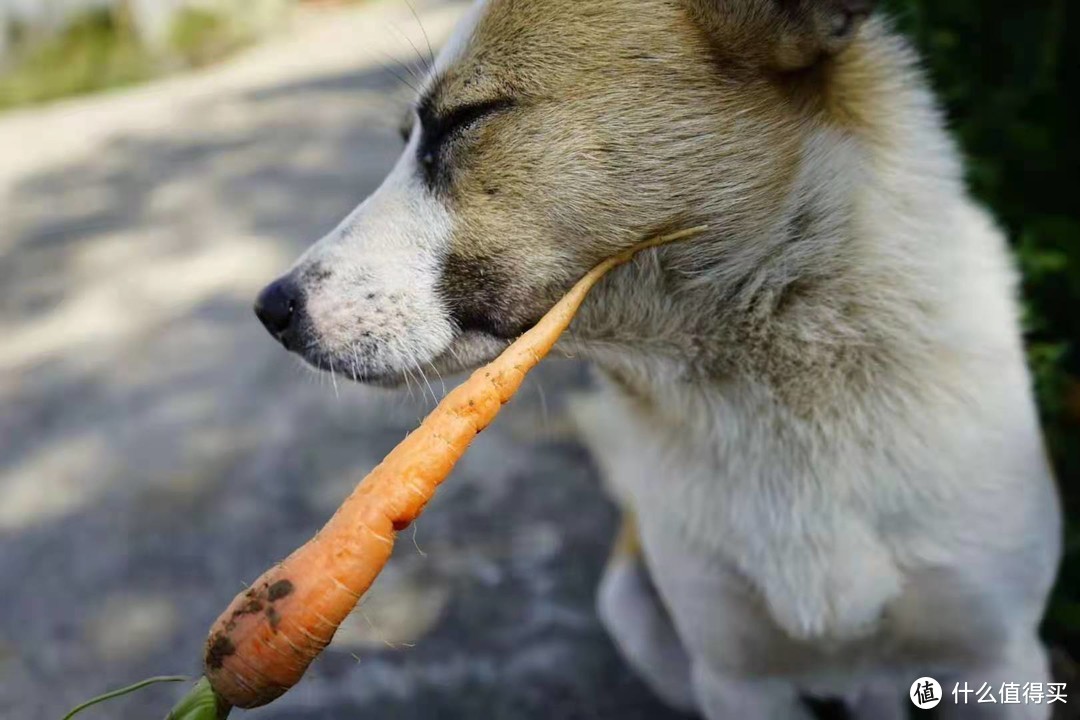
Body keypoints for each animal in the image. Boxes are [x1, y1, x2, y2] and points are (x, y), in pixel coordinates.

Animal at [252, 2, 1062, 716]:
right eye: (406, 134)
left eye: (467, 117)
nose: (270, 310)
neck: (772, 390)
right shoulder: (735, 680)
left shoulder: (1000, 661)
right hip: (634, 613)